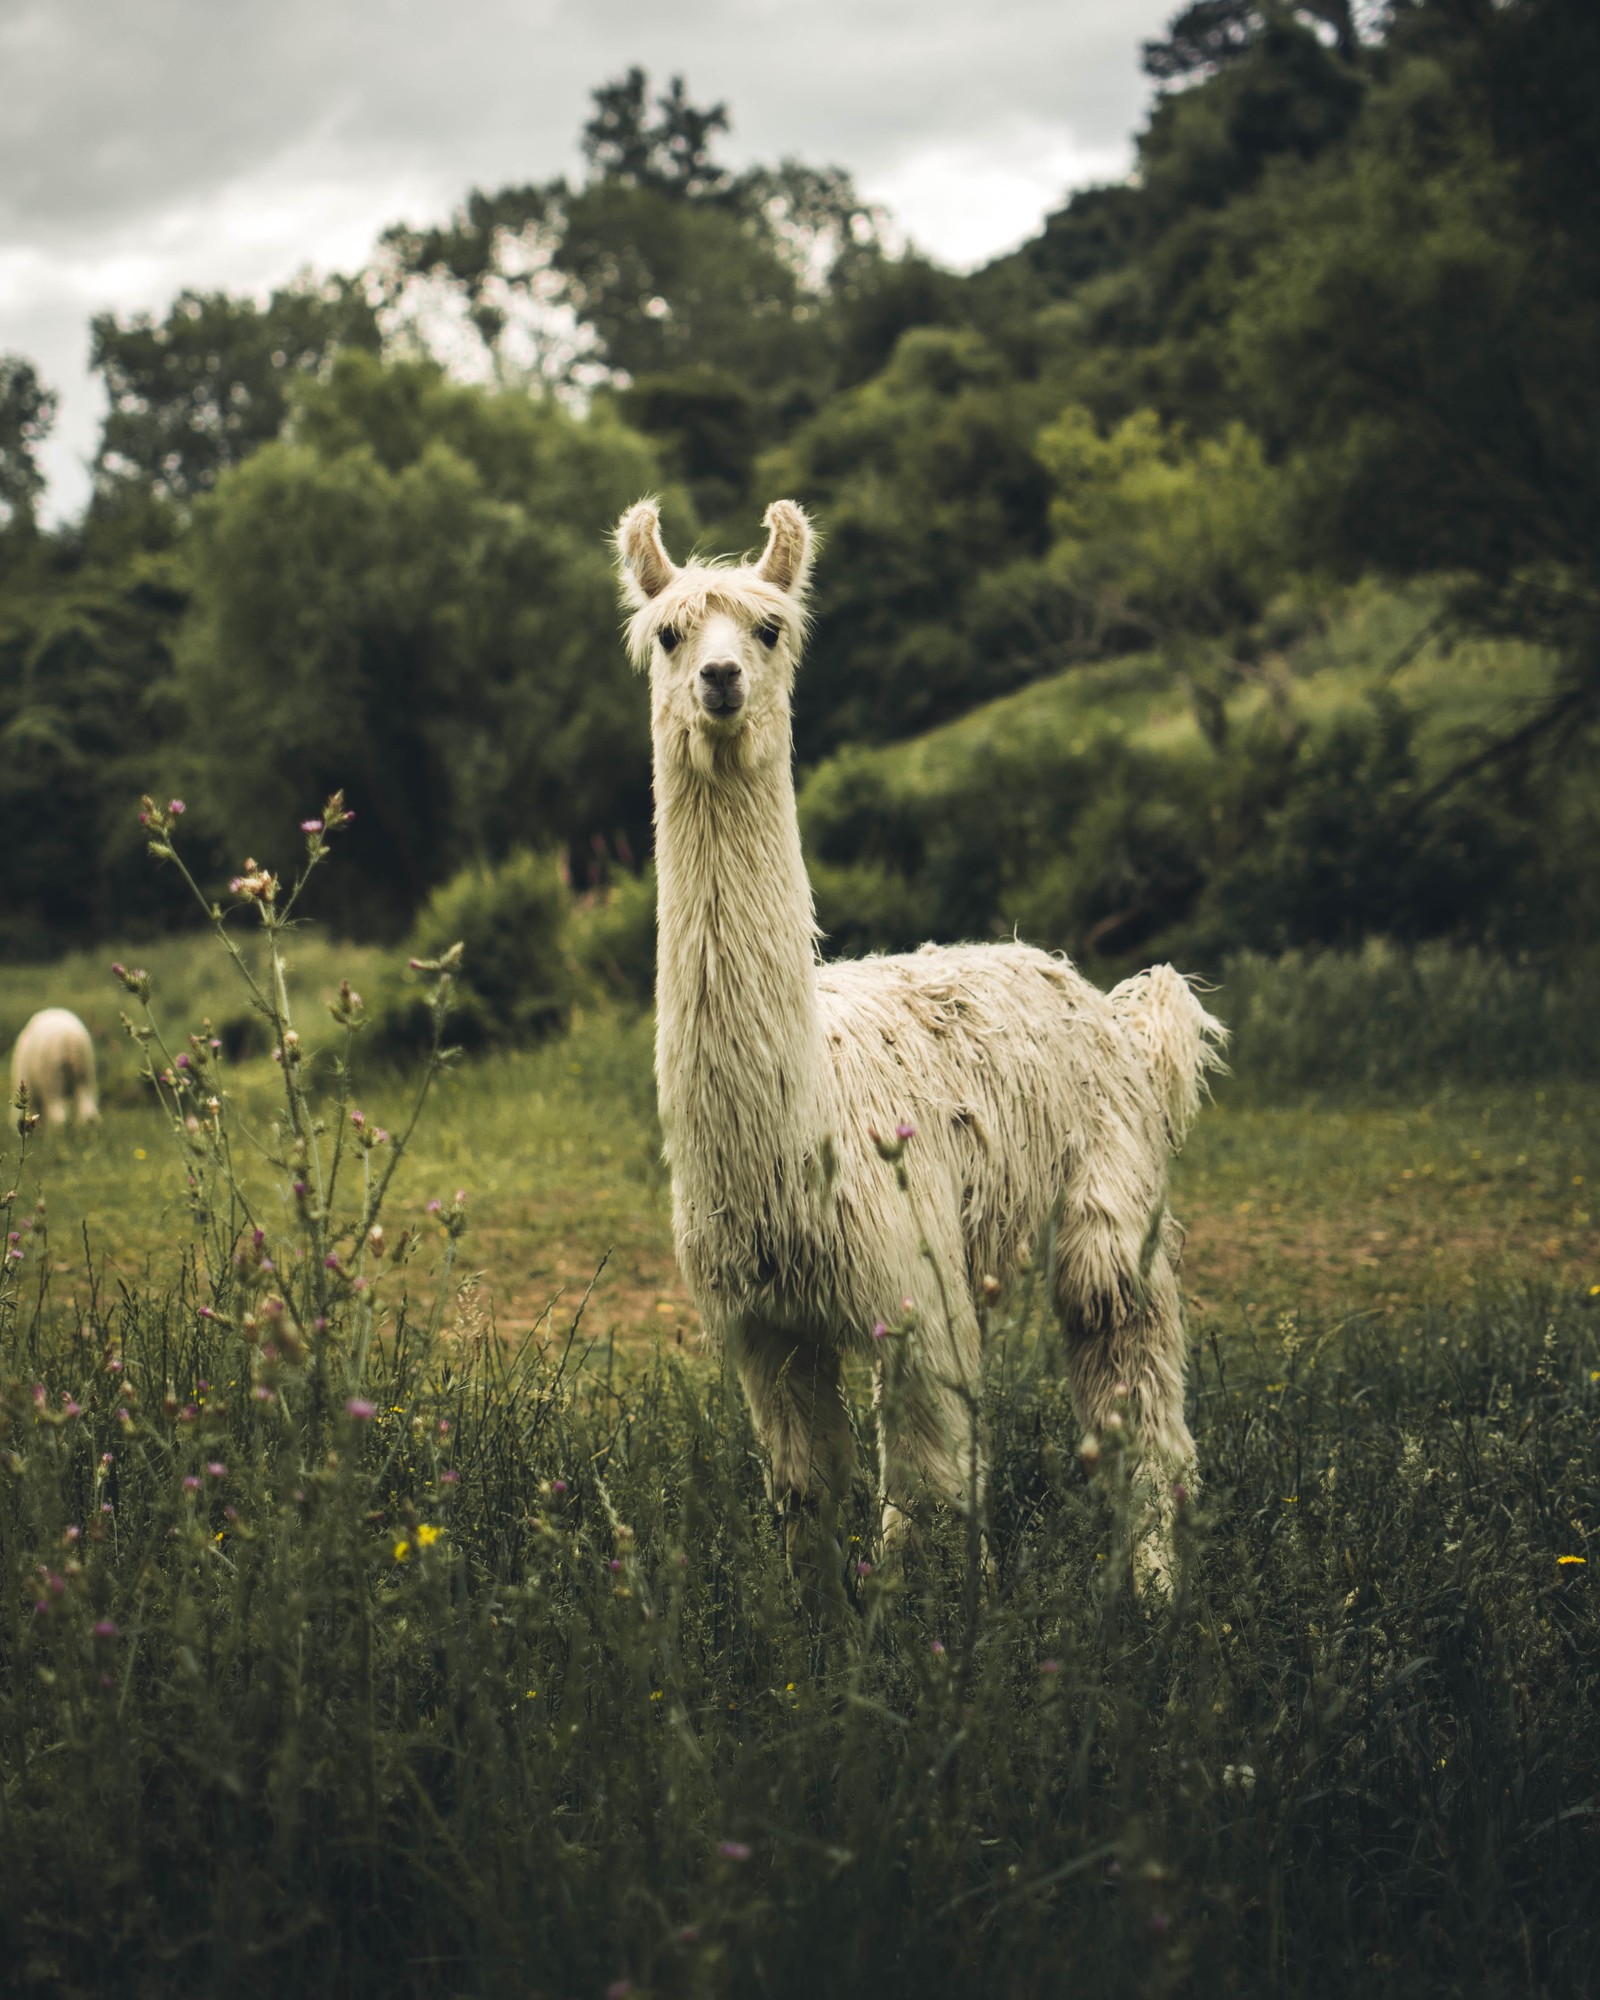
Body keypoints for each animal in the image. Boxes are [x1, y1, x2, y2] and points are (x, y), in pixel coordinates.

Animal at [612, 496, 1224, 1576]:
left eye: (768, 628)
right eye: (669, 635)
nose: (720, 680)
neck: (792, 1142)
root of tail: (1104, 999)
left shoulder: (902, 1292)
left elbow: (927, 1492)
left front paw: (922, 1620)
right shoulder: (768, 1329)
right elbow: (810, 1495)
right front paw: (819, 1619)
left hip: (1113, 1197)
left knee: (1135, 1390)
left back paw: (1150, 1586)